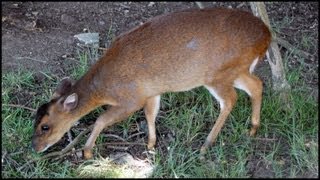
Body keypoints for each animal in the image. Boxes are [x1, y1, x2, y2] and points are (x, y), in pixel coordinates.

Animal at [32, 7, 272, 160]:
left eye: (45, 126)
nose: (35, 146)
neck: (103, 87)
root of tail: (267, 36)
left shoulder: (131, 98)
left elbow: (101, 119)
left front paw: (88, 152)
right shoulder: (151, 92)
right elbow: (151, 114)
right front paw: (151, 144)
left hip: (217, 74)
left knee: (230, 99)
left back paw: (207, 144)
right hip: (236, 69)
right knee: (256, 85)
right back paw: (253, 128)